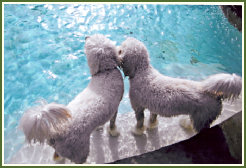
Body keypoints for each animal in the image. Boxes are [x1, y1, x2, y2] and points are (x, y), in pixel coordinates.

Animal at [19, 33, 124, 163]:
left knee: (57, 156)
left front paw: (99, 128)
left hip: (63, 149)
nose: (86, 36)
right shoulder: (116, 106)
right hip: (79, 151)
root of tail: (55, 133)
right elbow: (112, 123)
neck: (105, 73)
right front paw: (113, 132)